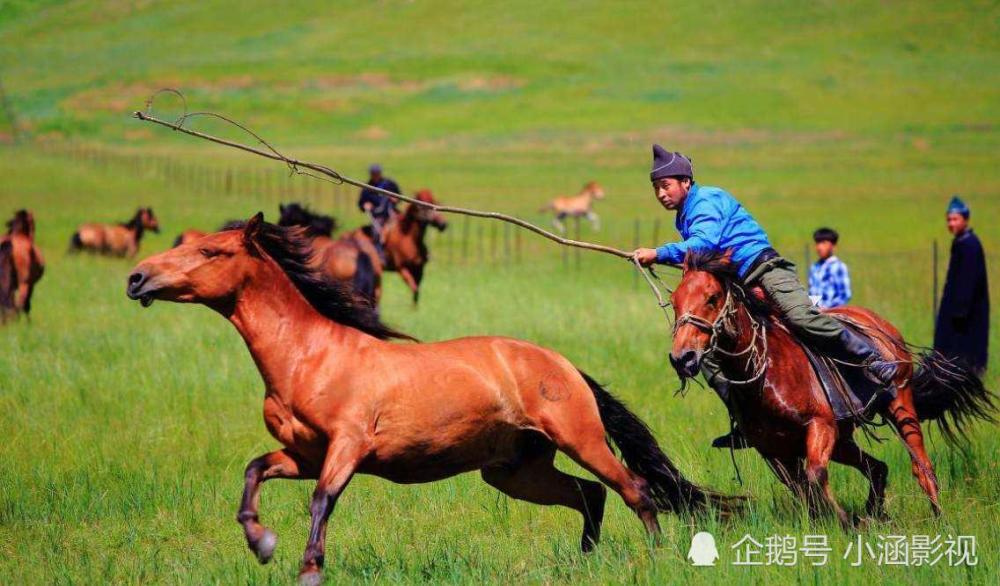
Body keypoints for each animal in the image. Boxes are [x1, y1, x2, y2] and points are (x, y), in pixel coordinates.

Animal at [129, 214, 744, 584]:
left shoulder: (346, 447)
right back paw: (583, 561)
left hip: (580, 439)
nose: (137, 279)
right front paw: (260, 541)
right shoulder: (303, 455)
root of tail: (563, 364)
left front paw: (307, 568)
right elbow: (255, 470)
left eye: (211, 251)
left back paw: (655, 558)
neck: (310, 356)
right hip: (513, 471)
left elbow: (322, 501)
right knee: (589, 495)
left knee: (634, 490)